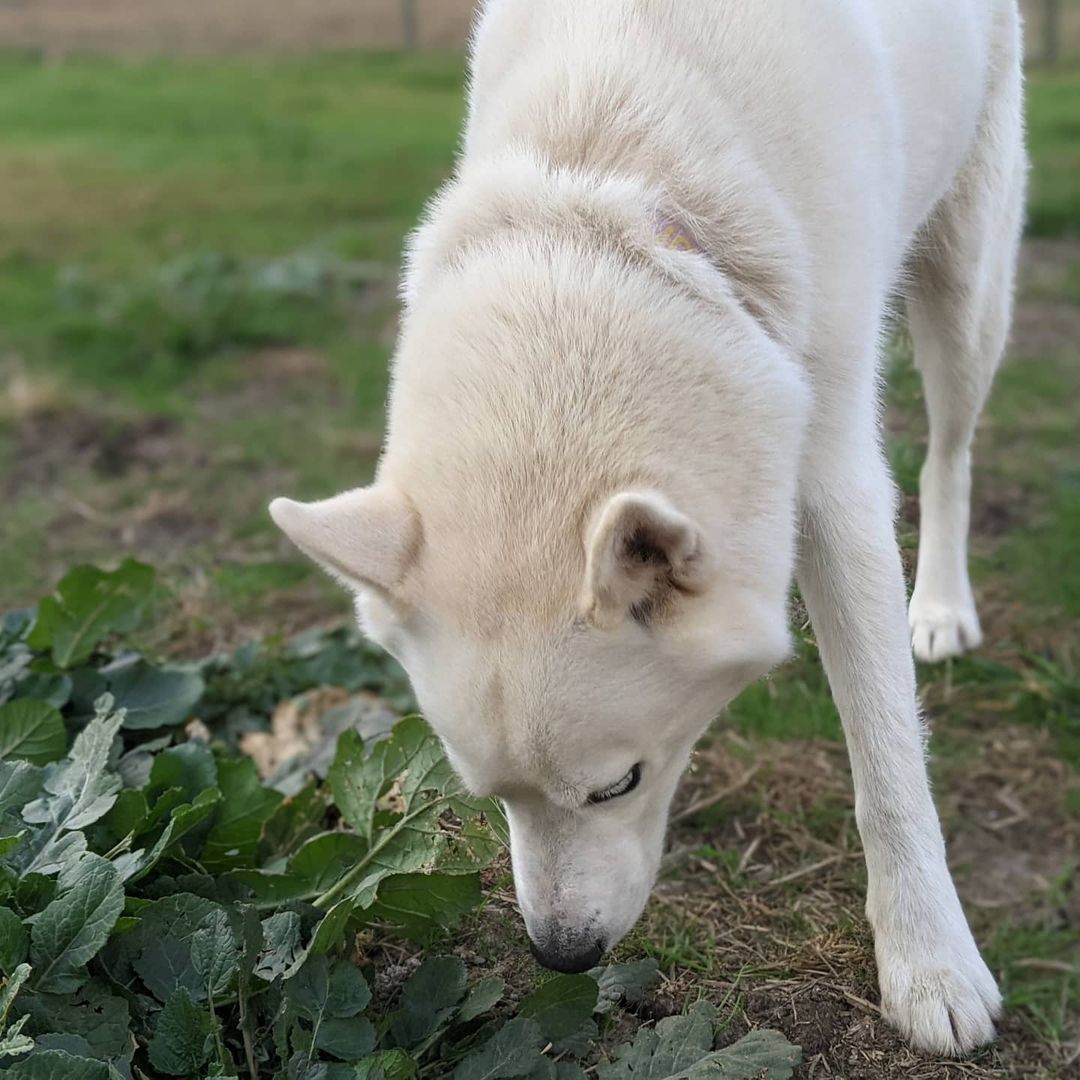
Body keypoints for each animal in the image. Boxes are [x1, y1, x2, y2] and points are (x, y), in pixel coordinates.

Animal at [270, 0, 1019, 1058]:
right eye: (485, 794)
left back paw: (943, 608)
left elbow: (887, 757)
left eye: (618, 785)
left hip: (964, 283)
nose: (562, 957)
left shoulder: (834, 472)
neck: (605, 187)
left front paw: (931, 964)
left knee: (950, 453)